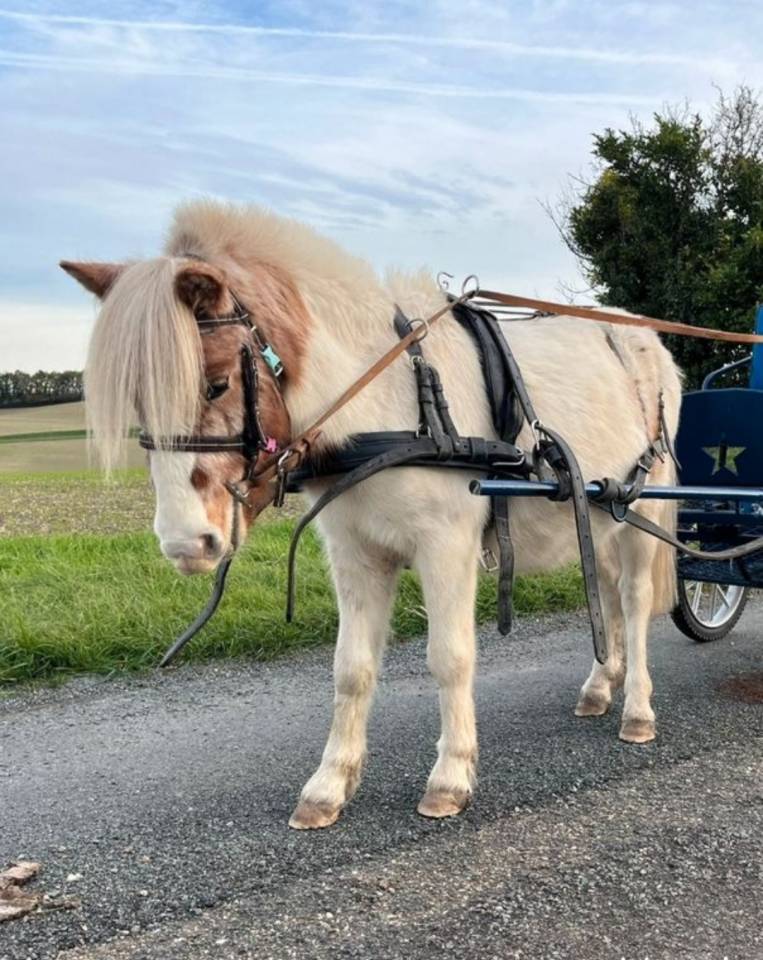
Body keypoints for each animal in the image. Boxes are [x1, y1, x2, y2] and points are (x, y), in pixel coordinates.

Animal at [62, 199, 682, 830]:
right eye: (139, 402)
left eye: (215, 384)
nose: (186, 544)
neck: (388, 399)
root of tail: (646, 339)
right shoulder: (355, 554)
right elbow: (351, 667)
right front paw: (329, 784)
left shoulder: (446, 547)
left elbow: (449, 657)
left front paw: (450, 777)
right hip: (601, 515)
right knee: (607, 591)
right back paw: (602, 684)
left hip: (643, 500)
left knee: (632, 600)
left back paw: (637, 707)